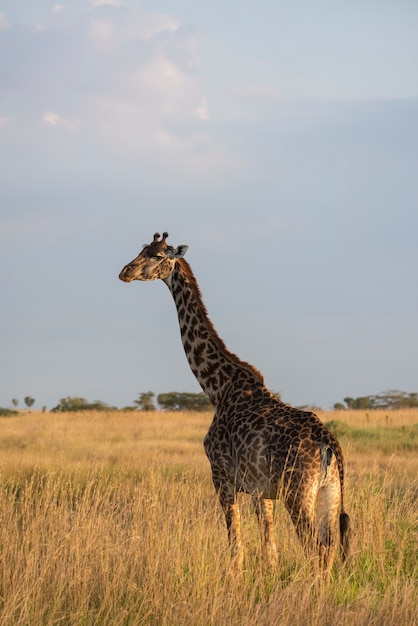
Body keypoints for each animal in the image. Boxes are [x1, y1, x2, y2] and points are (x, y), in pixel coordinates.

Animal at [118, 233, 350, 572]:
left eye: (158, 255)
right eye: (140, 249)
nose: (125, 271)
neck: (217, 388)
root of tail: (328, 443)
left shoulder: (222, 475)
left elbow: (235, 546)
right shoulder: (260, 490)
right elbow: (270, 549)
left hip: (297, 492)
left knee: (315, 547)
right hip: (329, 493)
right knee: (330, 547)